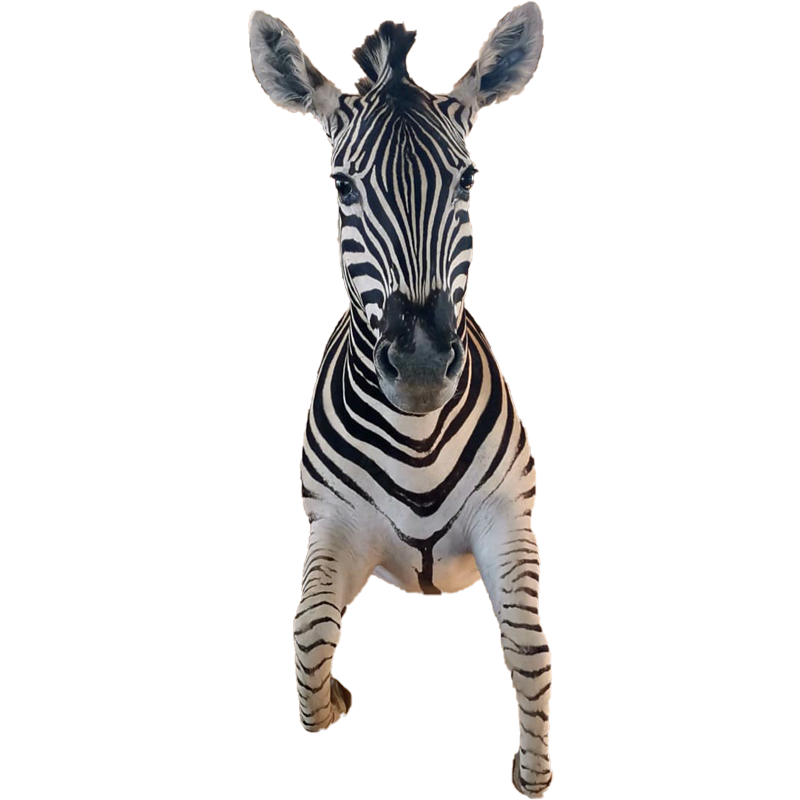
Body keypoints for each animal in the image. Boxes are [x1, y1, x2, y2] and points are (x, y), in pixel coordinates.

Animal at [249, 4, 550, 796]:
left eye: (467, 180)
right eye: (343, 187)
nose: (418, 363)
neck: (418, 441)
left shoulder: (506, 517)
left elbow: (531, 651)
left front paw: (530, 774)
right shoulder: (339, 526)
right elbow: (308, 641)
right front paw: (335, 707)